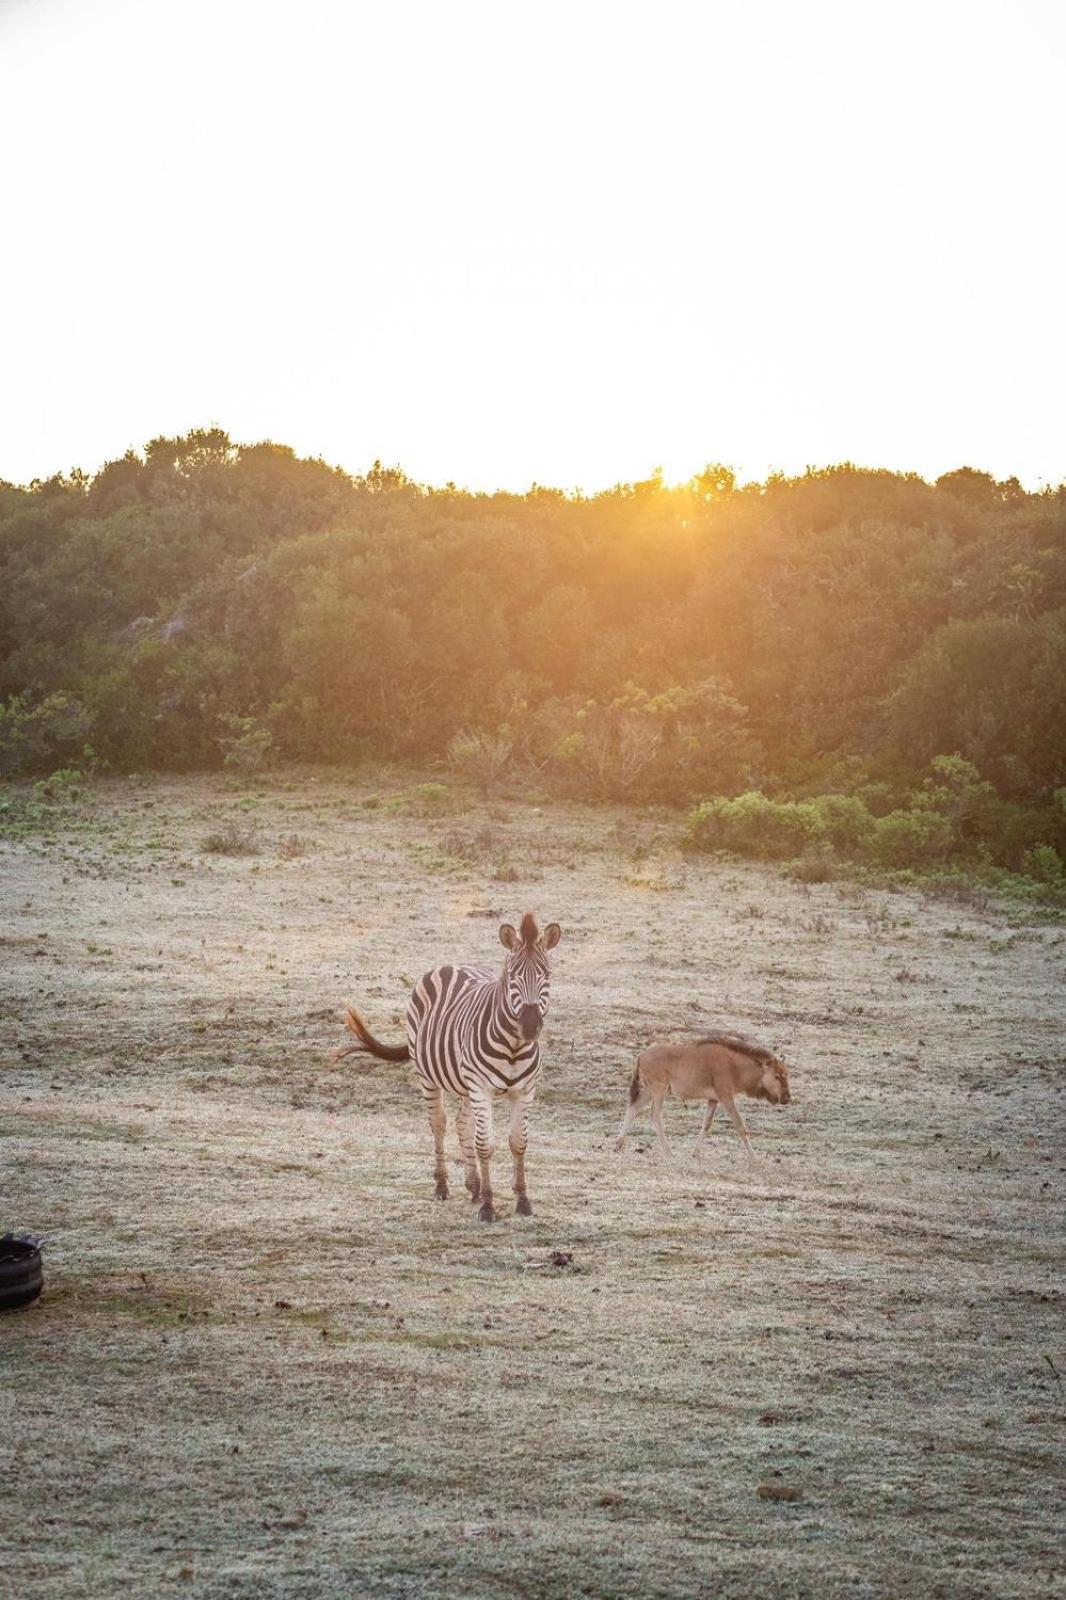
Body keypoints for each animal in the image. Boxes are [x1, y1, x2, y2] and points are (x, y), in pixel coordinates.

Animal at [334, 915, 560, 1222]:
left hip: (465, 1085)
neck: (514, 1046)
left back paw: (474, 1186)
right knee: (439, 1124)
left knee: (463, 1124)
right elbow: (485, 1144)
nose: (529, 1026)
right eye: (513, 976)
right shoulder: (481, 1088)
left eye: (546, 974)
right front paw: (488, 1206)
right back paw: (442, 1187)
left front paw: (522, 1200)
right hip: (429, 1077)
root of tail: (448, 965)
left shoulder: (524, 1091)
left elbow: (518, 1142)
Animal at [614, 1036, 787, 1164]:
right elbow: (740, 1125)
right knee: (654, 1115)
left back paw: (618, 1144)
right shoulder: (726, 1098)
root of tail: (640, 1056)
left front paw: (695, 1153)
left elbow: (706, 1124)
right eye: (777, 1076)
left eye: (786, 1074)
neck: (733, 1064)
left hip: (650, 1091)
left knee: (633, 1107)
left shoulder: (713, 1100)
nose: (787, 1098)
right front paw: (755, 1158)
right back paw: (668, 1152)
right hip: (658, 1091)